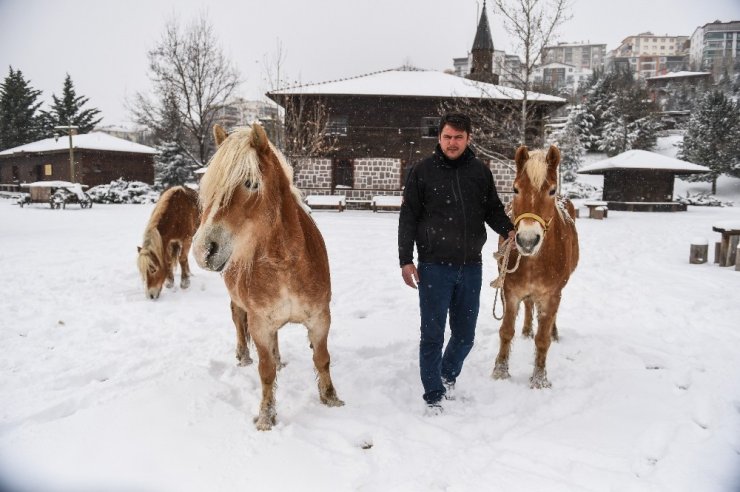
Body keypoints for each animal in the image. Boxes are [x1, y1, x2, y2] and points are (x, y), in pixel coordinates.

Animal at [191, 123, 342, 430]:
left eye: (251, 183)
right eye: (208, 187)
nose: (202, 250)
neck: (285, 264)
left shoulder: (320, 318)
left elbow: (322, 359)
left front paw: (331, 398)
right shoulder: (260, 324)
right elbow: (266, 371)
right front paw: (266, 417)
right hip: (240, 306)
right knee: (238, 323)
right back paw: (243, 356)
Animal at [494, 145, 580, 388]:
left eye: (551, 190)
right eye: (515, 189)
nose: (527, 241)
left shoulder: (551, 295)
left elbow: (542, 339)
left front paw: (539, 379)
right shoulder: (510, 291)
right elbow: (506, 331)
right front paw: (500, 372)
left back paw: (554, 332)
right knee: (529, 305)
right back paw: (525, 331)